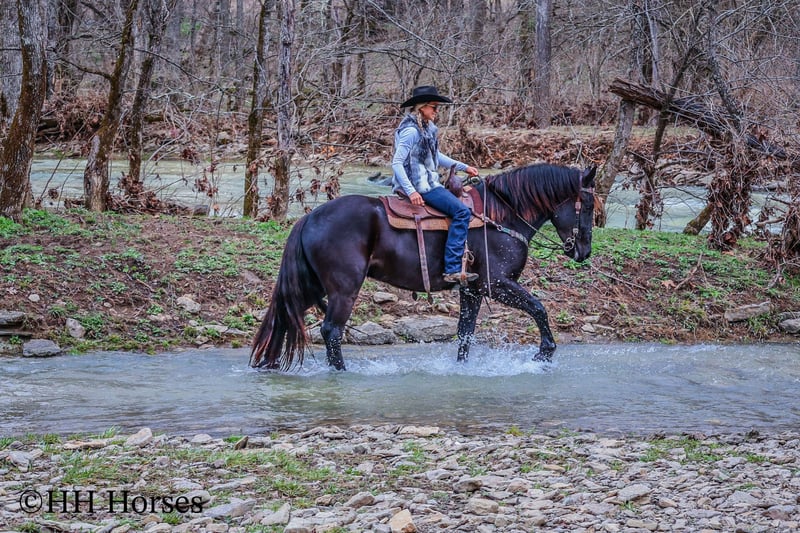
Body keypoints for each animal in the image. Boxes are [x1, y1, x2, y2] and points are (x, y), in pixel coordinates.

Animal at [250, 162, 596, 371]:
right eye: (590, 205)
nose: (583, 251)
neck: (501, 216)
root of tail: (309, 218)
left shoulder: (471, 290)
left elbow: (464, 334)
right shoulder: (496, 284)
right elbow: (538, 308)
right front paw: (544, 353)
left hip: (312, 286)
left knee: (284, 316)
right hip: (343, 290)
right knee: (331, 331)